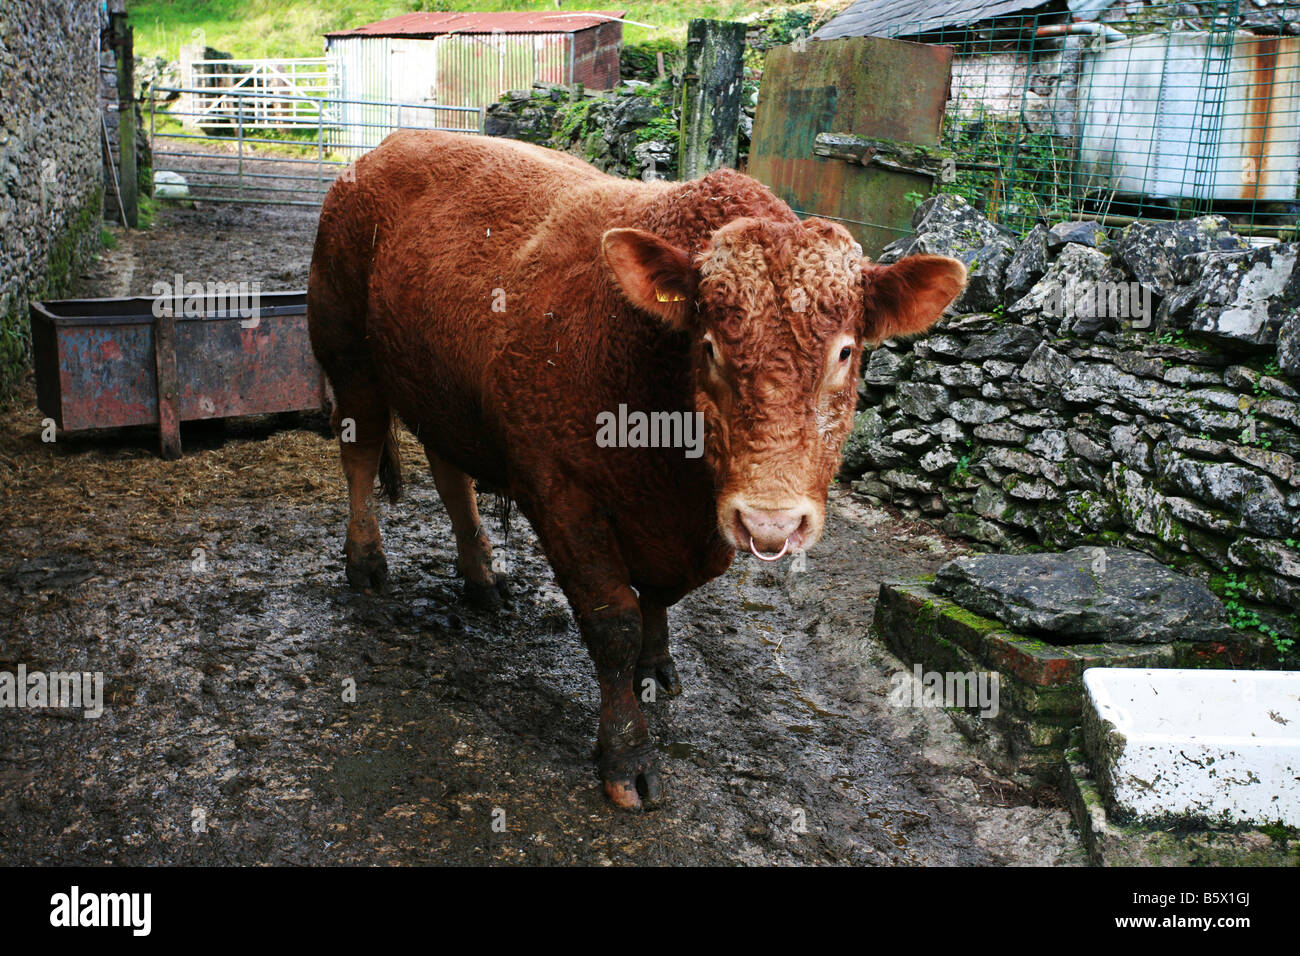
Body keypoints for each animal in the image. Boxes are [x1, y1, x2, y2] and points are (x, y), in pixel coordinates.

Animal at [306, 130, 967, 811]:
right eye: (709, 346)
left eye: (845, 352)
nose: (771, 520)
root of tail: (390, 143)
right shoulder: (560, 491)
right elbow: (613, 622)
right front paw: (626, 751)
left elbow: (660, 595)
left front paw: (657, 663)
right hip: (347, 351)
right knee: (360, 453)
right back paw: (366, 562)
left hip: (441, 389)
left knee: (449, 473)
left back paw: (481, 576)